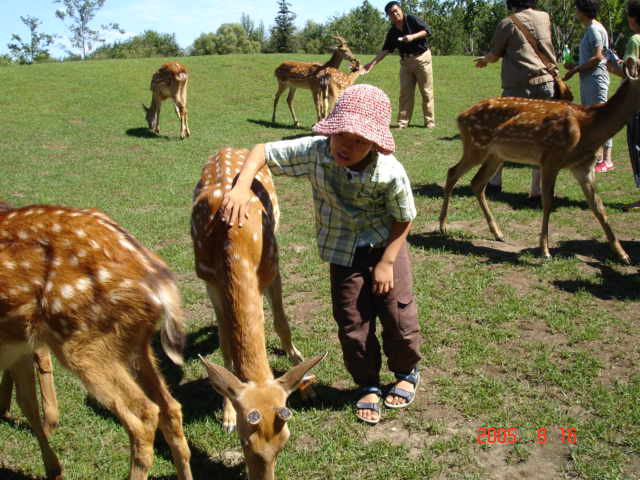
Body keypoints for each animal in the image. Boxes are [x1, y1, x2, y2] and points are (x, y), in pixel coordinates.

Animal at [0, 203, 194, 480]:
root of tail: (156, 277)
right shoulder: (17, 348)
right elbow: (27, 402)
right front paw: (53, 469)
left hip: (85, 344)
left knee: (144, 415)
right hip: (134, 343)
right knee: (171, 408)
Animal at [188, 147, 322, 480]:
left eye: (285, 440)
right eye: (243, 441)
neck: (233, 246)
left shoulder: (272, 264)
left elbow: (280, 321)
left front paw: (306, 382)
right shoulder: (209, 280)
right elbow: (225, 342)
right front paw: (225, 415)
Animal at [438, 60, 640, 266]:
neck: (589, 128)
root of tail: (460, 116)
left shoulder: (583, 167)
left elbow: (598, 207)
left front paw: (623, 255)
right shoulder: (551, 158)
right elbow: (548, 202)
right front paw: (545, 250)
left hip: (496, 155)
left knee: (477, 182)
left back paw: (498, 233)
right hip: (476, 146)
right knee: (452, 172)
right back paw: (443, 226)